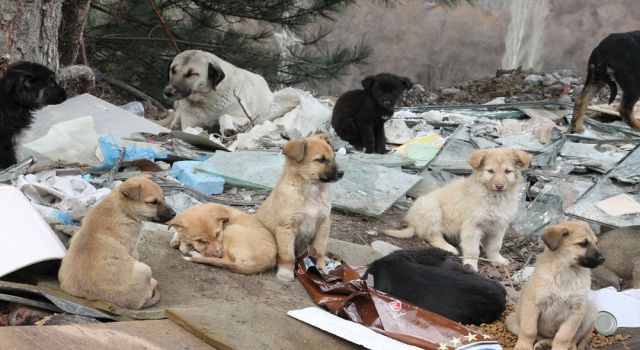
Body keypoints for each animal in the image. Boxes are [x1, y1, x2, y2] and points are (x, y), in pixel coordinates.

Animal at [58, 176, 175, 310]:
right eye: (153, 202)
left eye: (164, 198)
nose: (174, 214)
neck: (121, 209)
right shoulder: (133, 249)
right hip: (144, 269)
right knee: (148, 292)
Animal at [256, 134, 342, 282]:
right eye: (320, 160)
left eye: (334, 157)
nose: (342, 173)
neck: (311, 191)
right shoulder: (286, 228)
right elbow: (288, 255)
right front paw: (286, 273)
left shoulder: (323, 225)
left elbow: (319, 251)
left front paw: (322, 270)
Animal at [382, 148, 532, 270]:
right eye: (490, 171)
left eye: (507, 171)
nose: (499, 186)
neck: (495, 198)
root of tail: (413, 222)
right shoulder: (472, 226)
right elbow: (472, 250)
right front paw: (471, 265)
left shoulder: (499, 226)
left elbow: (495, 246)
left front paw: (497, 260)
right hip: (431, 210)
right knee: (432, 236)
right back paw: (449, 248)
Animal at [504, 221, 604, 350]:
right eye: (583, 244)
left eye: (596, 243)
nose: (603, 259)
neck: (566, 273)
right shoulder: (532, 305)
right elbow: (529, 331)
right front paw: (523, 347)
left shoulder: (576, 311)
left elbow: (564, 336)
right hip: (511, 320)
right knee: (538, 336)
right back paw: (543, 344)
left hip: (590, 311)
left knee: (574, 339)